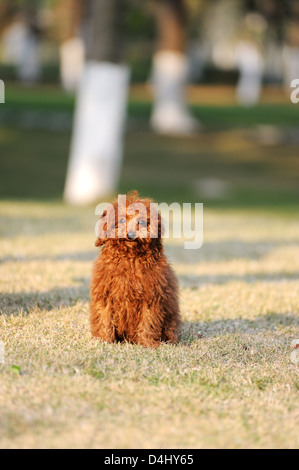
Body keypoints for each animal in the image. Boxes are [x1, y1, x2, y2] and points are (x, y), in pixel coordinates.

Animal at [90, 189, 182, 346]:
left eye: (142, 222)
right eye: (121, 220)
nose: (131, 234)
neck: (129, 257)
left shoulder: (151, 296)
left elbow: (148, 321)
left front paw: (148, 343)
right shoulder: (105, 294)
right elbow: (104, 318)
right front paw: (104, 340)